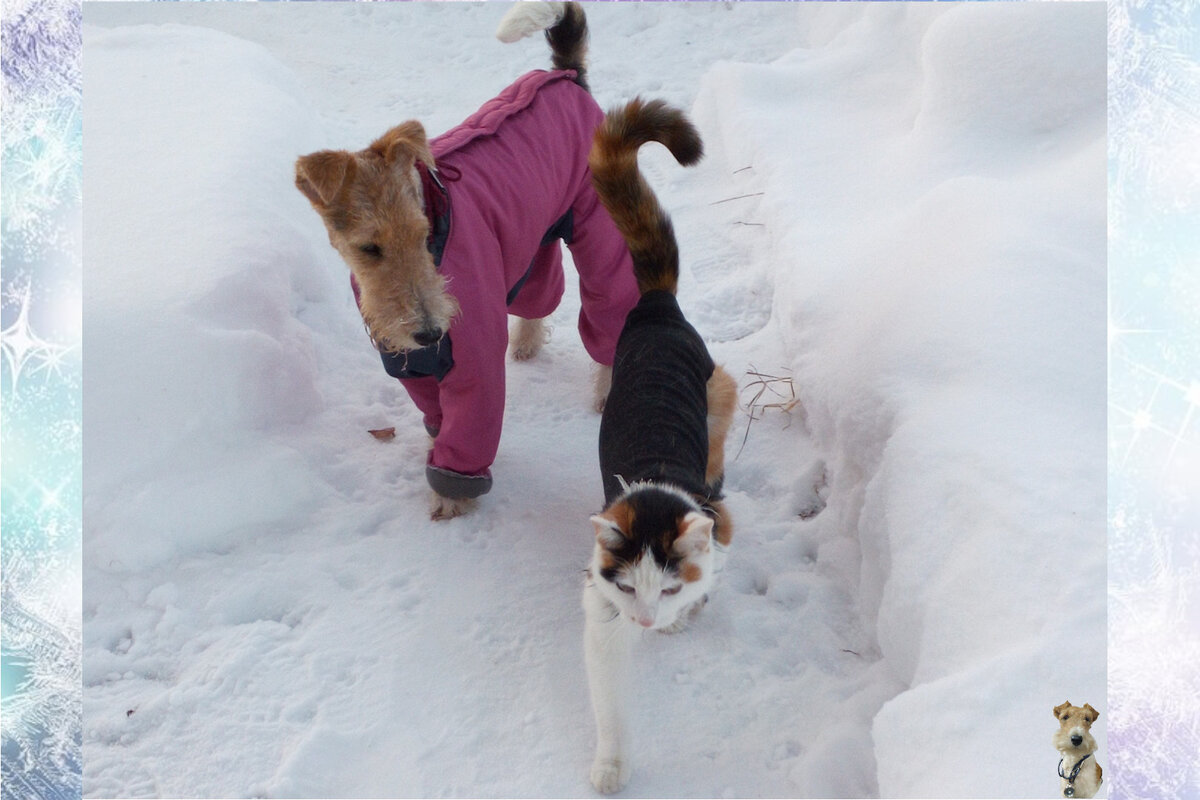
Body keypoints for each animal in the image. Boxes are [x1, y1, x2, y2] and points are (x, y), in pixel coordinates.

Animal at [295, 1, 643, 520]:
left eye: (422, 236)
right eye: (369, 248)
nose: (431, 330)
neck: (437, 211)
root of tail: (567, 77)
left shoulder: (473, 353)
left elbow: (469, 421)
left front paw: (450, 497)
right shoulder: (411, 362)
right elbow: (437, 415)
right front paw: (438, 458)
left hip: (601, 229)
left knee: (610, 315)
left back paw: (605, 390)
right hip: (534, 233)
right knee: (542, 294)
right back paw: (525, 344)